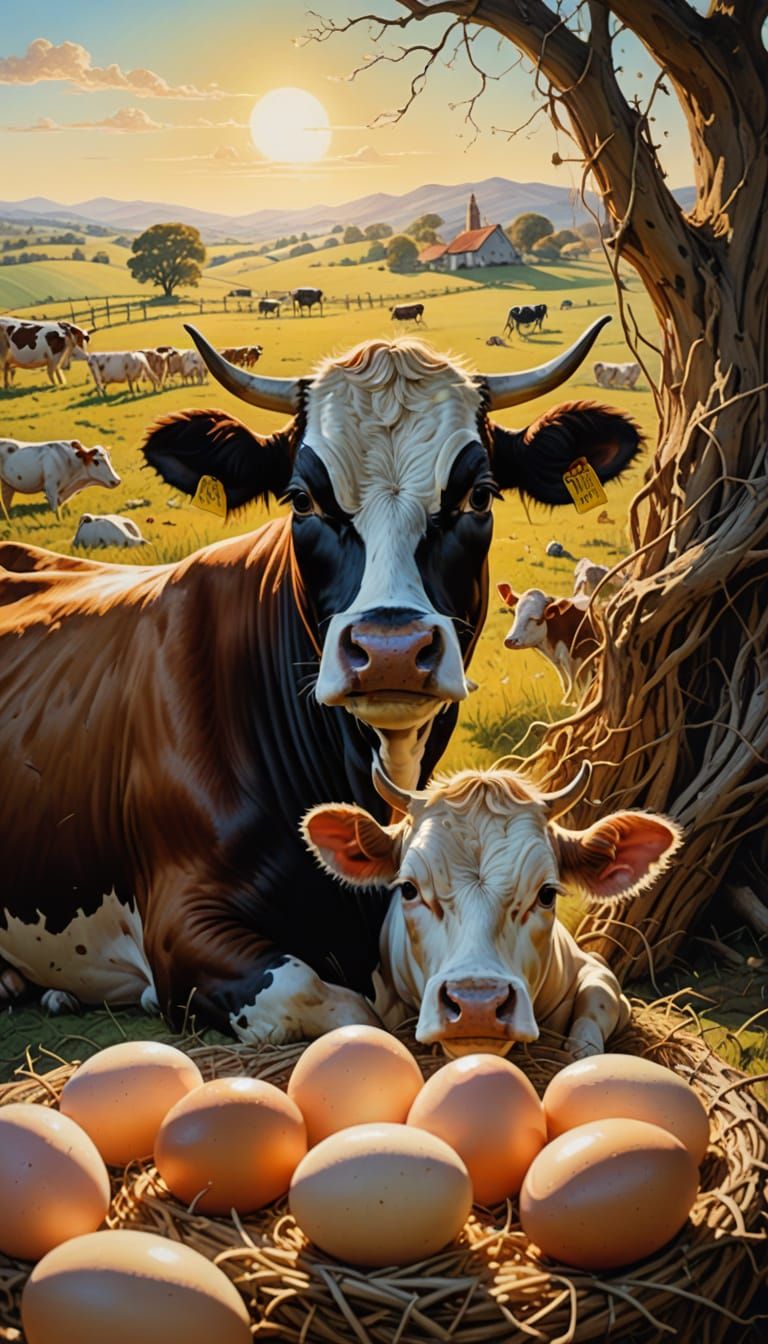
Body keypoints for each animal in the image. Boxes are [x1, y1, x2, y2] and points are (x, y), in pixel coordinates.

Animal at [0, 316, 643, 1042]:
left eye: (477, 495)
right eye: (302, 500)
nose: (390, 648)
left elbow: (601, 990)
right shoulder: (180, 925)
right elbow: (338, 1006)